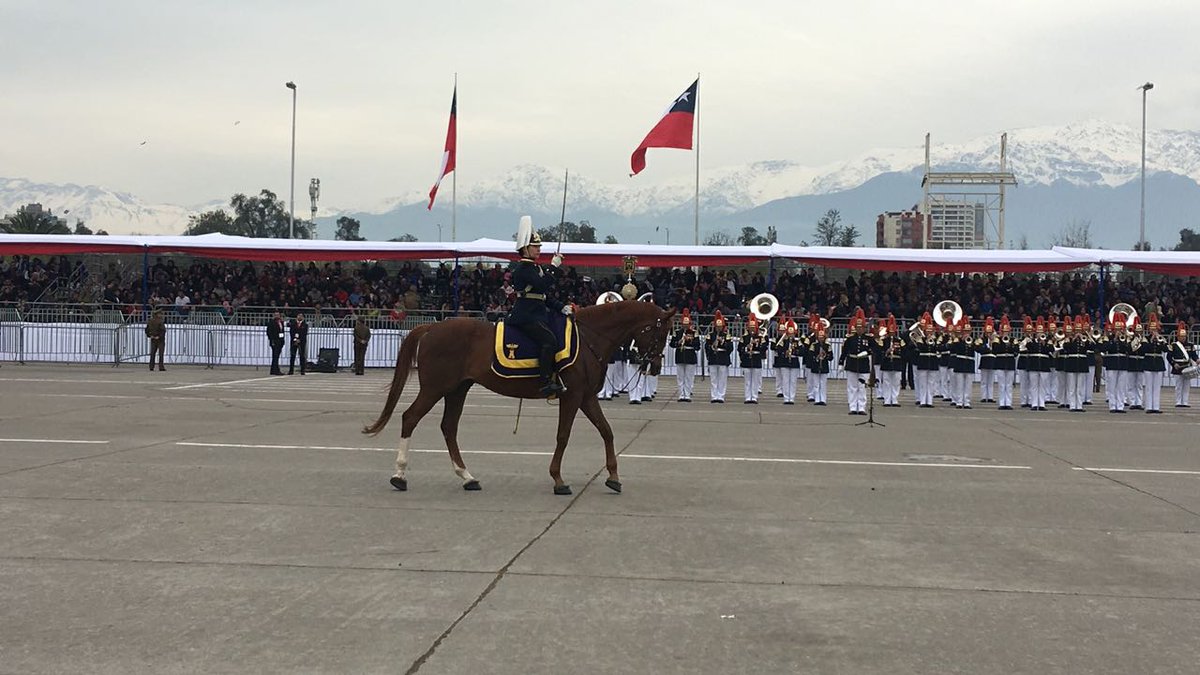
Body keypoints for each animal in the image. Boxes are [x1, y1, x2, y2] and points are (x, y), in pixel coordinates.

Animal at [360, 299, 676, 494]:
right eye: (661, 334)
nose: (655, 365)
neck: (590, 339)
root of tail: (432, 327)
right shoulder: (572, 396)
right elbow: (564, 436)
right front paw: (558, 479)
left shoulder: (586, 398)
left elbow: (607, 431)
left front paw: (613, 477)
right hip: (435, 387)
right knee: (410, 417)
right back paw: (399, 476)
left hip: (458, 389)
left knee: (448, 427)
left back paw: (467, 477)